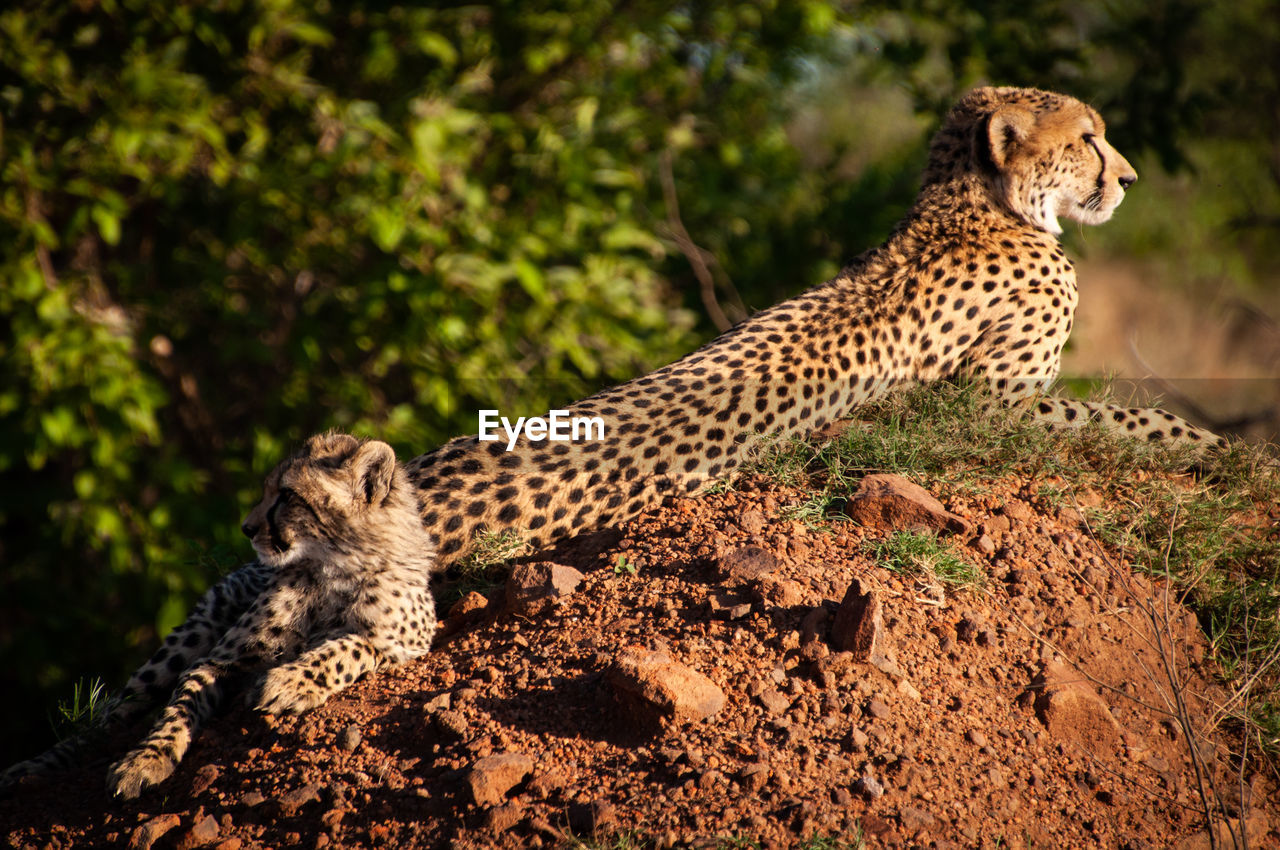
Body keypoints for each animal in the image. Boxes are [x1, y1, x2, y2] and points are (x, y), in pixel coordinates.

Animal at [0, 84, 1218, 798]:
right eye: (1088, 137)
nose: (1125, 177)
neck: (976, 204)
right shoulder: (984, 407)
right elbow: (1116, 414)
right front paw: (1208, 445)